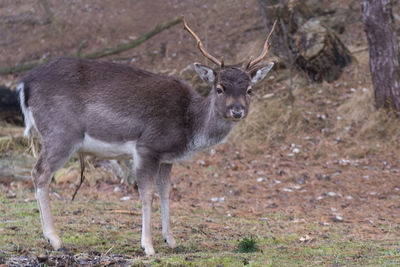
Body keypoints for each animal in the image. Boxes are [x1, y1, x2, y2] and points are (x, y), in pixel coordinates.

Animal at [17, 17, 276, 256]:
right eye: (220, 88)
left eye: (249, 90)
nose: (237, 111)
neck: (189, 128)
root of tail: (23, 84)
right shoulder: (147, 146)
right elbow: (146, 193)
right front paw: (148, 246)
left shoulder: (167, 158)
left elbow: (165, 192)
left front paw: (171, 240)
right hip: (61, 133)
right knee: (40, 172)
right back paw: (55, 240)